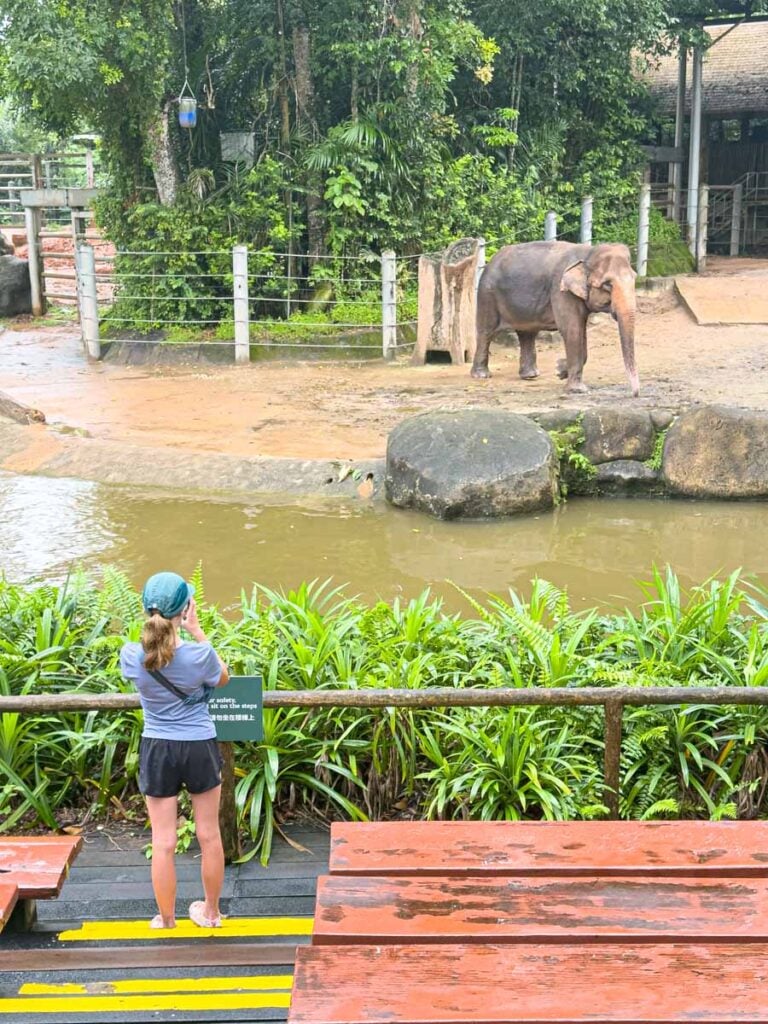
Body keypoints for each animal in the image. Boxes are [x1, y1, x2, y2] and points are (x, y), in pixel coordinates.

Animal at [470, 241, 640, 396]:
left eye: (634, 279)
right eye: (607, 285)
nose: (634, 394)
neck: (589, 252)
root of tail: (490, 262)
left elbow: (580, 330)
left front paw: (560, 370)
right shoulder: (560, 290)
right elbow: (572, 330)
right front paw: (576, 389)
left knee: (527, 334)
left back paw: (530, 375)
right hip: (487, 294)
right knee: (486, 332)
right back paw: (481, 375)